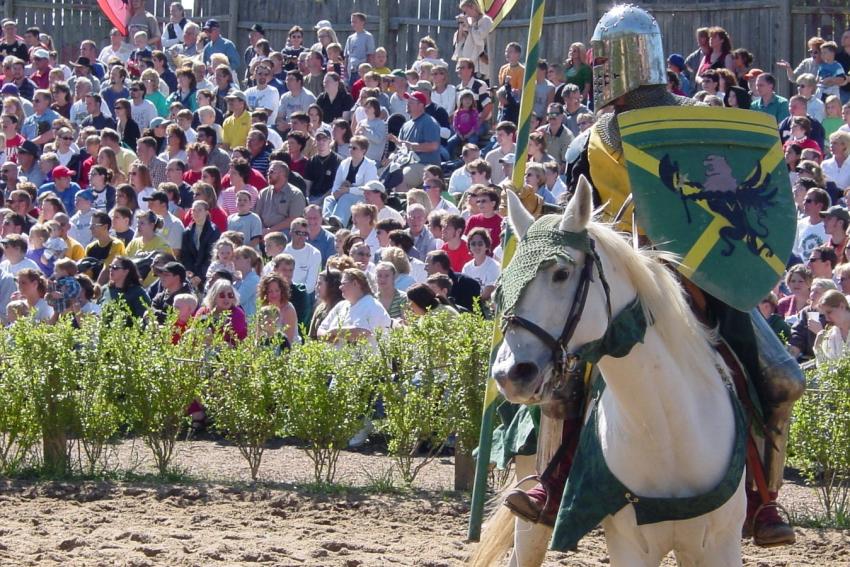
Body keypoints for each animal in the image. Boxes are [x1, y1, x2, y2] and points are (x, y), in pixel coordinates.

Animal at [470, 179, 744, 567]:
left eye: (561, 273)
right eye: (503, 283)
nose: (511, 373)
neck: (666, 429)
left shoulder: (719, 544)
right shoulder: (631, 546)